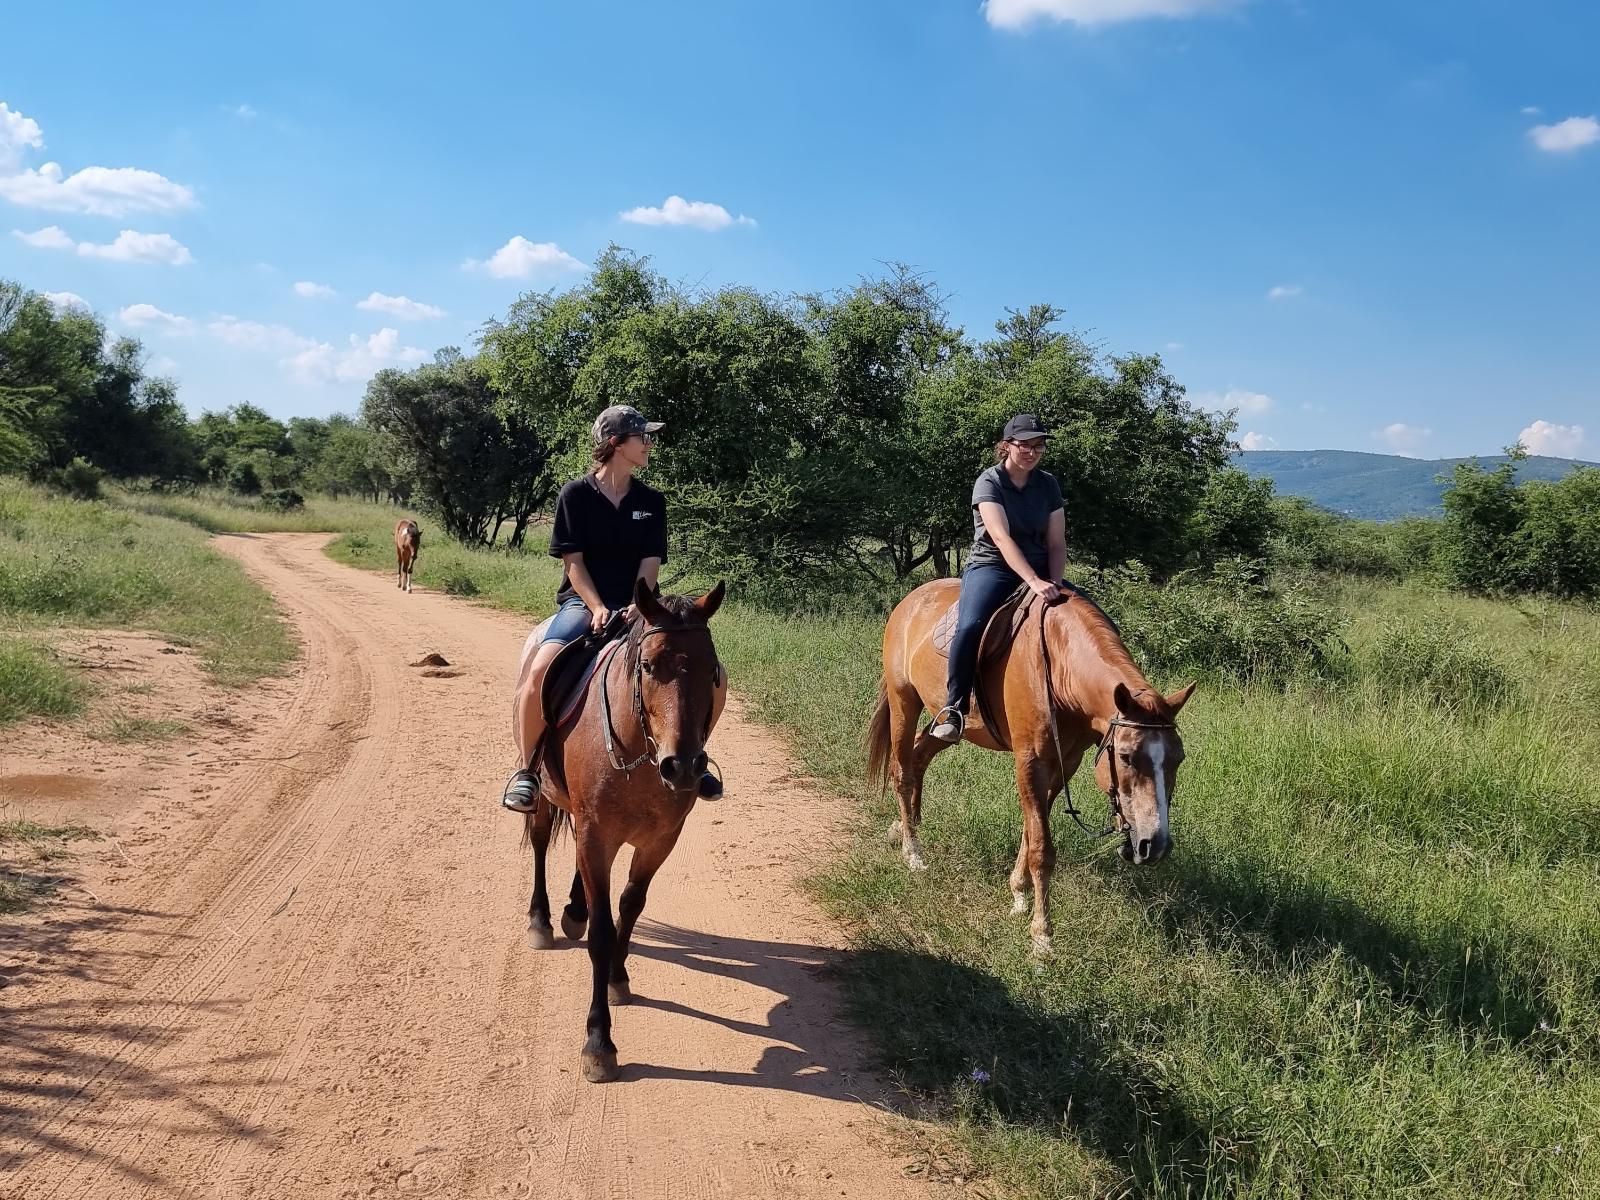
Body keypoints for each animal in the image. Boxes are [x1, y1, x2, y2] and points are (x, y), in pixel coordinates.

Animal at [521, 579, 729, 1088]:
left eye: (712, 671)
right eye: (649, 666)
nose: (684, 767)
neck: (641, 755)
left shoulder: (660, 840)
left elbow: (630, 908)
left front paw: (618, 978)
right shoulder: (596, 835)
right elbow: (602, 931)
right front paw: (599, 1042)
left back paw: (573, 910)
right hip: (546, 798)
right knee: (539, 843)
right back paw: (542, 920)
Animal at [870, 582, 1196, 960]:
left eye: (1178, 758)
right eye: (1127, 757)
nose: (1154, 845)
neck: (1059, 668)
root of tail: (911, 600)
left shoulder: (1064, 764)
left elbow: (1030, 831)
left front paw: (1019, 894)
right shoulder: (1030, 761)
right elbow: (1041, 847)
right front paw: (1042, 936)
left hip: (948, 726)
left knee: (920, 755)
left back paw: (902, 826)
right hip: (903, 701)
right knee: (902, 771)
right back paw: (912, 852)